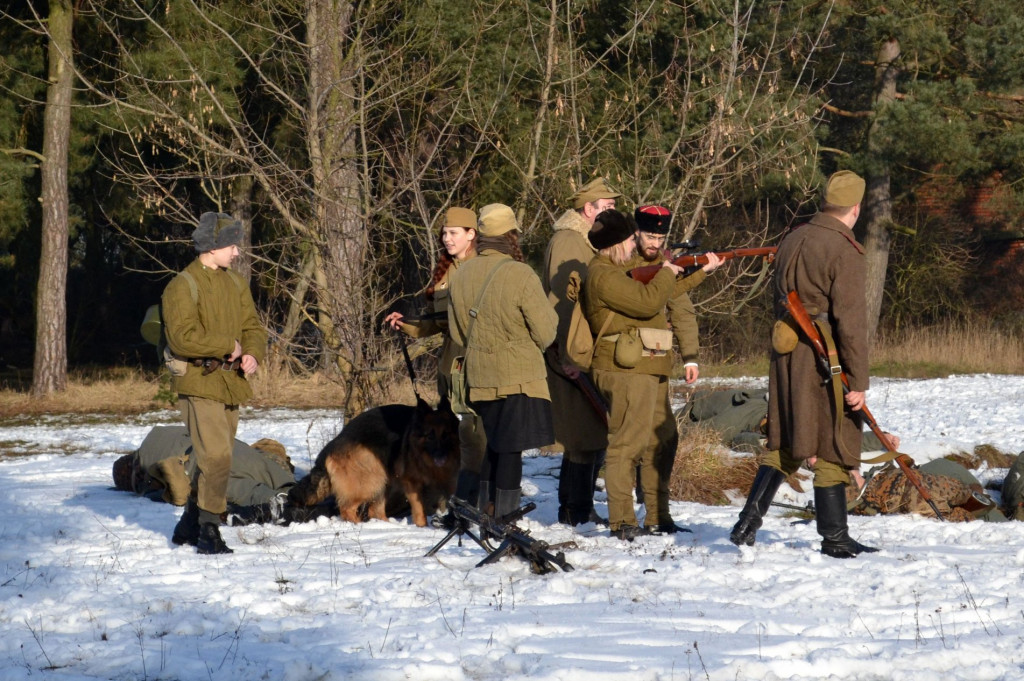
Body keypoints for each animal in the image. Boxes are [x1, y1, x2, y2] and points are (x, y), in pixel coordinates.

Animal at [290, 399, 462, 524]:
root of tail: (332, 444)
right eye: (430, 436)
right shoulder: (412, 485)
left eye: (446, 435)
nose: (440, 455)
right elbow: (420, 512)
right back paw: (360, 525)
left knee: (375, 511)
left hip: (384, 481)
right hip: (371, 479)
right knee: (347, 509)